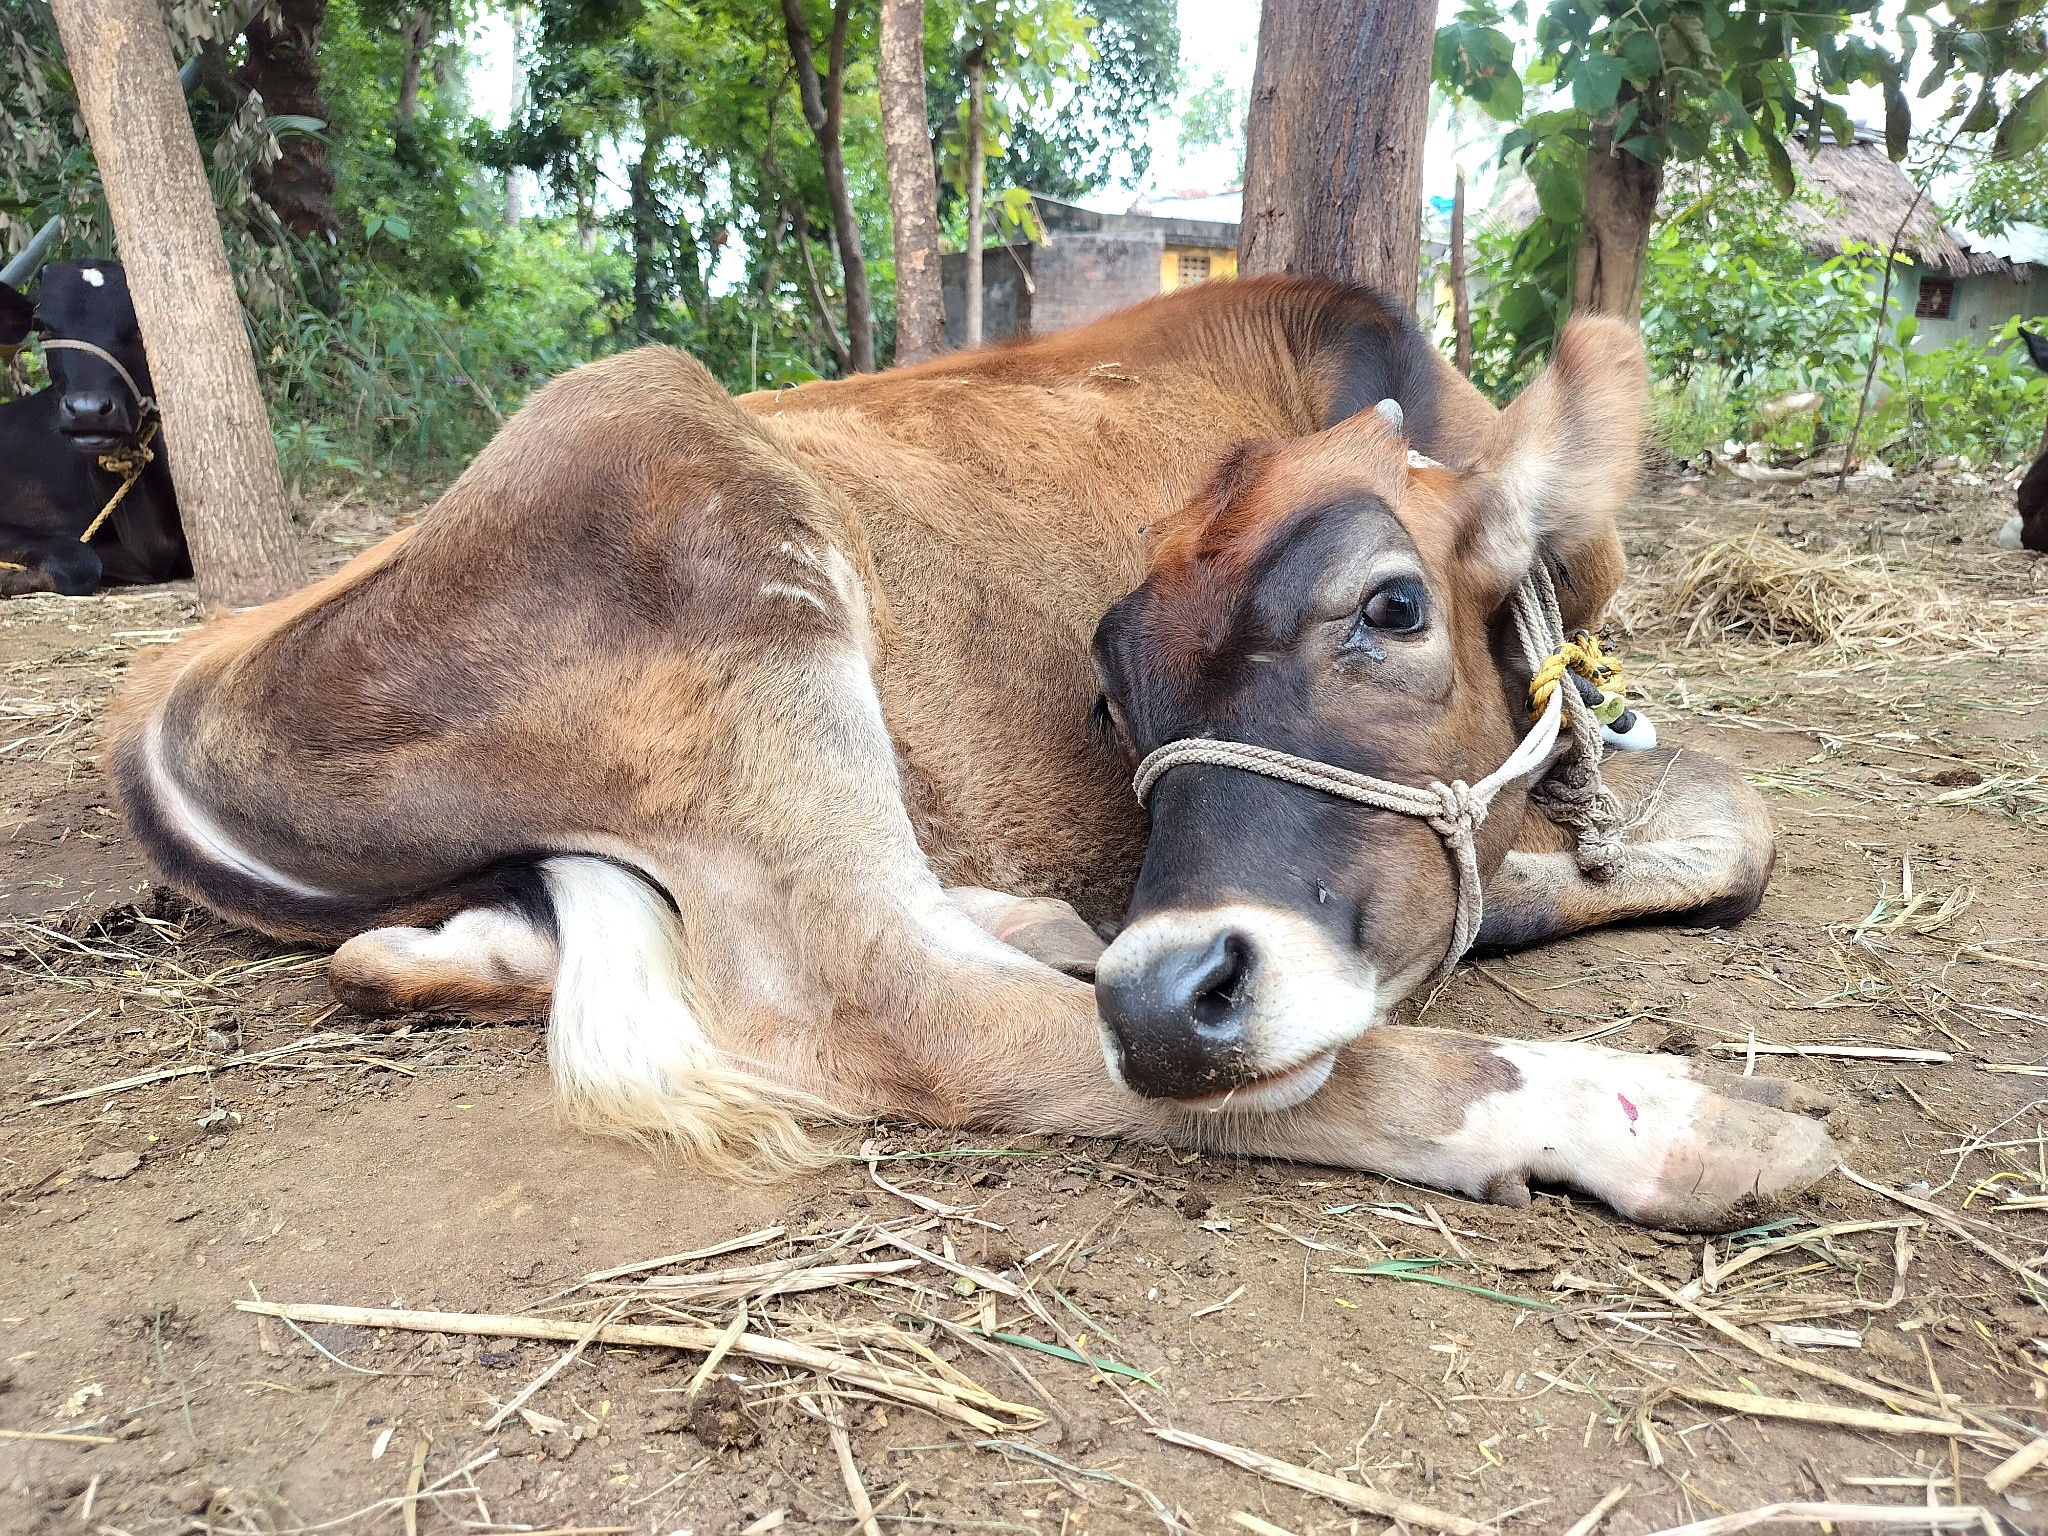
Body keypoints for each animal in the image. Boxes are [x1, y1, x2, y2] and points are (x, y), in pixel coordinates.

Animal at [107, 276, 1834, 1231]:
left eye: (1392, 609)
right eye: (1108, 694)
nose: (1166, 985)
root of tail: (176, 681)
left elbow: (1720, 826)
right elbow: (1728, 823)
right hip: (705, 496)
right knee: (897, 1002)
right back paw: (1657, 1120)